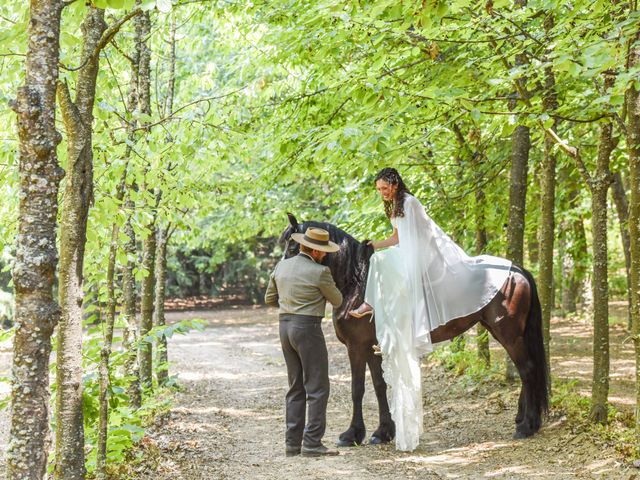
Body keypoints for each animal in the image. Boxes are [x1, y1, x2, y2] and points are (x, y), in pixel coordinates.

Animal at [282, 214, 552, 446]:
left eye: (294, 248)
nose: (282, 279)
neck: (357, 285)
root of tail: (517, 270)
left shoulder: (356, 347)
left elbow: (357, 390)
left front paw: (352, 435)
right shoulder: (371, 349)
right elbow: (379, 387)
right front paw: (383, 432)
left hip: (509, 334)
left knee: (527, 369)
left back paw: (526, 426)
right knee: (526, 371)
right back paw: (524, 420)